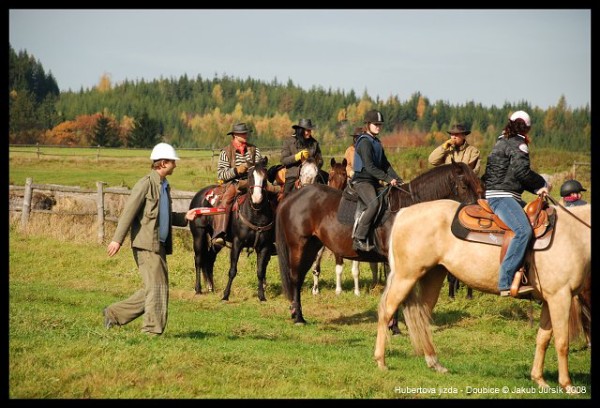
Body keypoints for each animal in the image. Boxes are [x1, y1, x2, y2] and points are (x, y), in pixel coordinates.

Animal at [189, 158, 278, 302]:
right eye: (250, 177)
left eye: (265, 178)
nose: (257, 198)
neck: (255, 214)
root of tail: (199, 195)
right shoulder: (237, 243)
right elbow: (232, 270)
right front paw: (225, 295)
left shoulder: (264, 246)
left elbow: (260, 271)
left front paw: (261, 296)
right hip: (198, 235)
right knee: (198, 259)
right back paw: (198, 289)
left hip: (215, 241)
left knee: (209, 259)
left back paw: (211, 287)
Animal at [276, 161, 482, 324]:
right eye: (464, 186)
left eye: (477, 185)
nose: (475, 217)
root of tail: (293, 197)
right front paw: (394, 327)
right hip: (299, 246)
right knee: (295, 277)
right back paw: (299, 318)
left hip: (312, 246)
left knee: (300, 277)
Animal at [376, 199, 592, 394]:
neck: (574, 234)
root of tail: (403, 213)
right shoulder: (560, 297)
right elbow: (562, 343)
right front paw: (568, 385)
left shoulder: (550, 300)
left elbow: (543, 339)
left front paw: (539, 380)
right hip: (406, 276)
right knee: (386, 312)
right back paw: (381, 362)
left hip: (432, 277)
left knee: (422, 318)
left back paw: (434, 363)